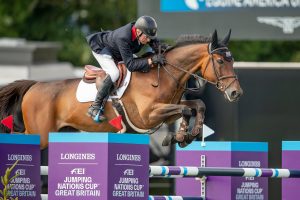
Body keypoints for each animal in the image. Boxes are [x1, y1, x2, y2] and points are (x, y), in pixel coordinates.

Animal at [0, 29, 243, 148]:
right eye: (220, 61)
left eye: (232, 60)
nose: (236, 93)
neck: (164, 74)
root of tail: (34, 86)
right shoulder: (148, 116)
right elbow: (186, 109)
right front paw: (180, 136)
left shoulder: (167, 108)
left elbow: (197, 105)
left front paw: (187, 136)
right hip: (40, 133)